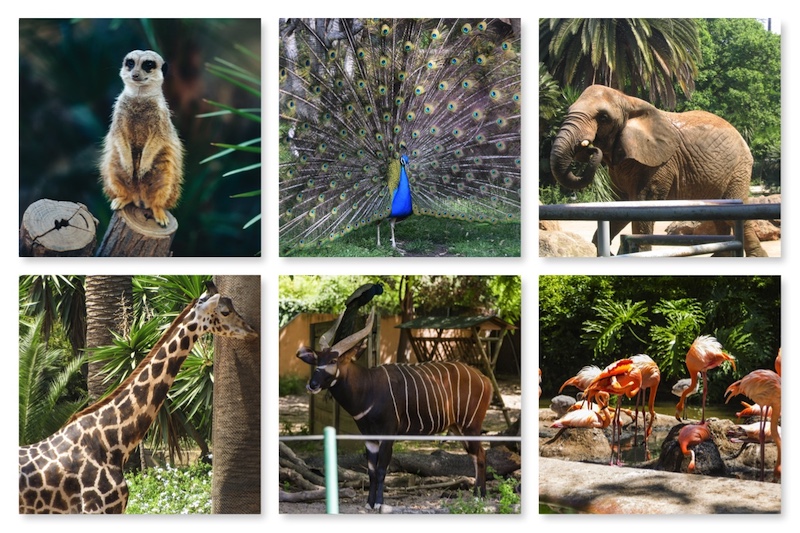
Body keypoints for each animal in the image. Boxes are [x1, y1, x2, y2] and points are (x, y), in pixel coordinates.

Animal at [552, 84, 768, 256]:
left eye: (603, 118)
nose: (588, 147)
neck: (627, 100)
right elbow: (619, 206)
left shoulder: (659, 164)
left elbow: (643, 207)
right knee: (721, 218)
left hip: (738, 169)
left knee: (736, 216)